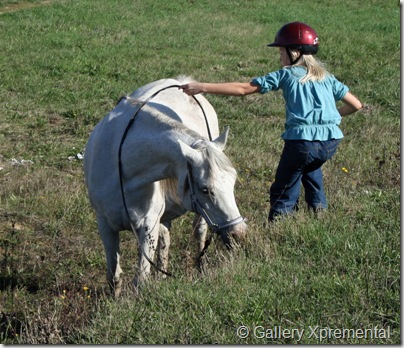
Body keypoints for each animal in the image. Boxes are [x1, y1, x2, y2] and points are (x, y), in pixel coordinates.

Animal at [84, 77, 246, 294]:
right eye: (205, 189)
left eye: (233, 183)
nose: (240, 234)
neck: (122, 166)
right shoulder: (105, 225)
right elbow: (114, 276)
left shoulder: (148, 225)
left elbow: (141, 278)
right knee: (165, 240)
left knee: (199, 233)